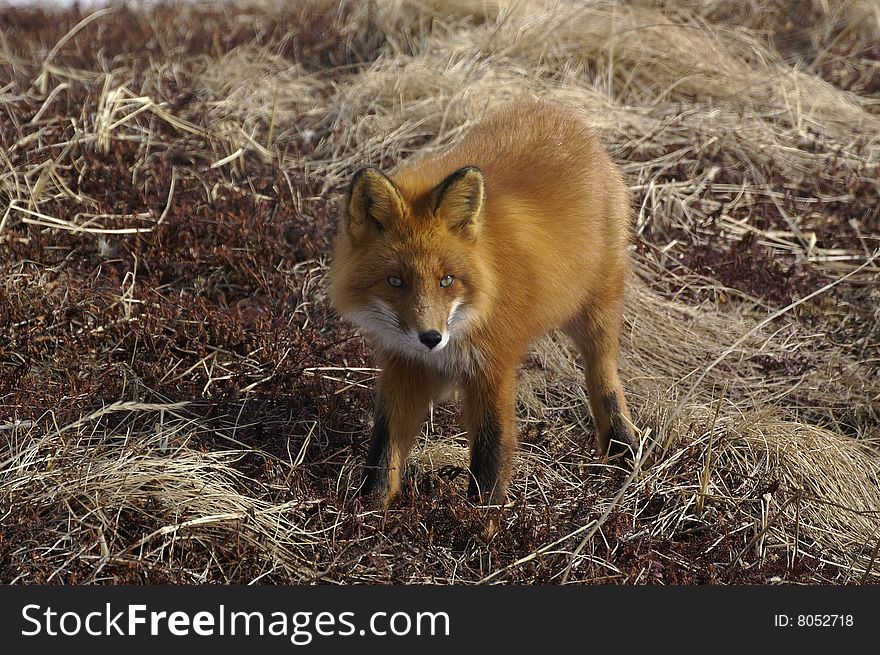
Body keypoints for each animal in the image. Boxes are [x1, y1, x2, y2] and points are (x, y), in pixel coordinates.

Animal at [330, 100, 632, 510]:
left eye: (447, 280)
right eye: (396, 281)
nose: (430, 338)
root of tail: (557, 111)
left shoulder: (492, 368)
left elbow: (491, 457)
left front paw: (479, 522)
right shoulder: (404, 366)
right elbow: (383, 451)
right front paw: (368, 513)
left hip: (595, 311)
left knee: (604, 376)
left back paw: (621, 447)